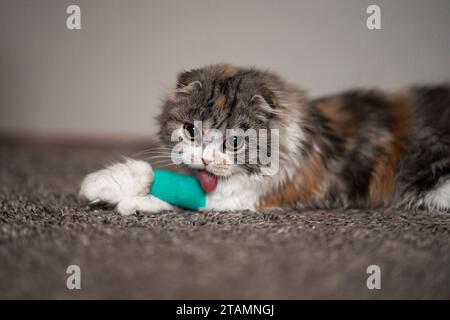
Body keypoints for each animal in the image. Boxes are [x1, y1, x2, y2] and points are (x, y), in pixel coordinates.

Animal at [81, 63, 450, 215]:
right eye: (191, 130)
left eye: (234, 143)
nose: (204, 159)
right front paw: (125, 198)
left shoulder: (267, 191)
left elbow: (185, 192)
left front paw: (107, 186)